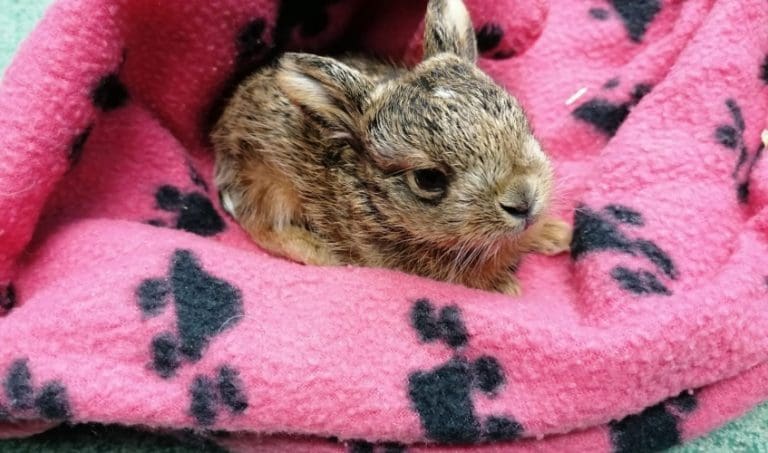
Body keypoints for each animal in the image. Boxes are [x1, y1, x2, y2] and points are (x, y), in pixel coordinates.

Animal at [210, 0, 572, 296]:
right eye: (428, 179)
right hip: (270, 183)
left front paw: (558, 234)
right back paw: (320, 252)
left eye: (520, 117)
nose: (523, 200)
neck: (378, 203)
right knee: (264, 226)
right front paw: (507, 286)